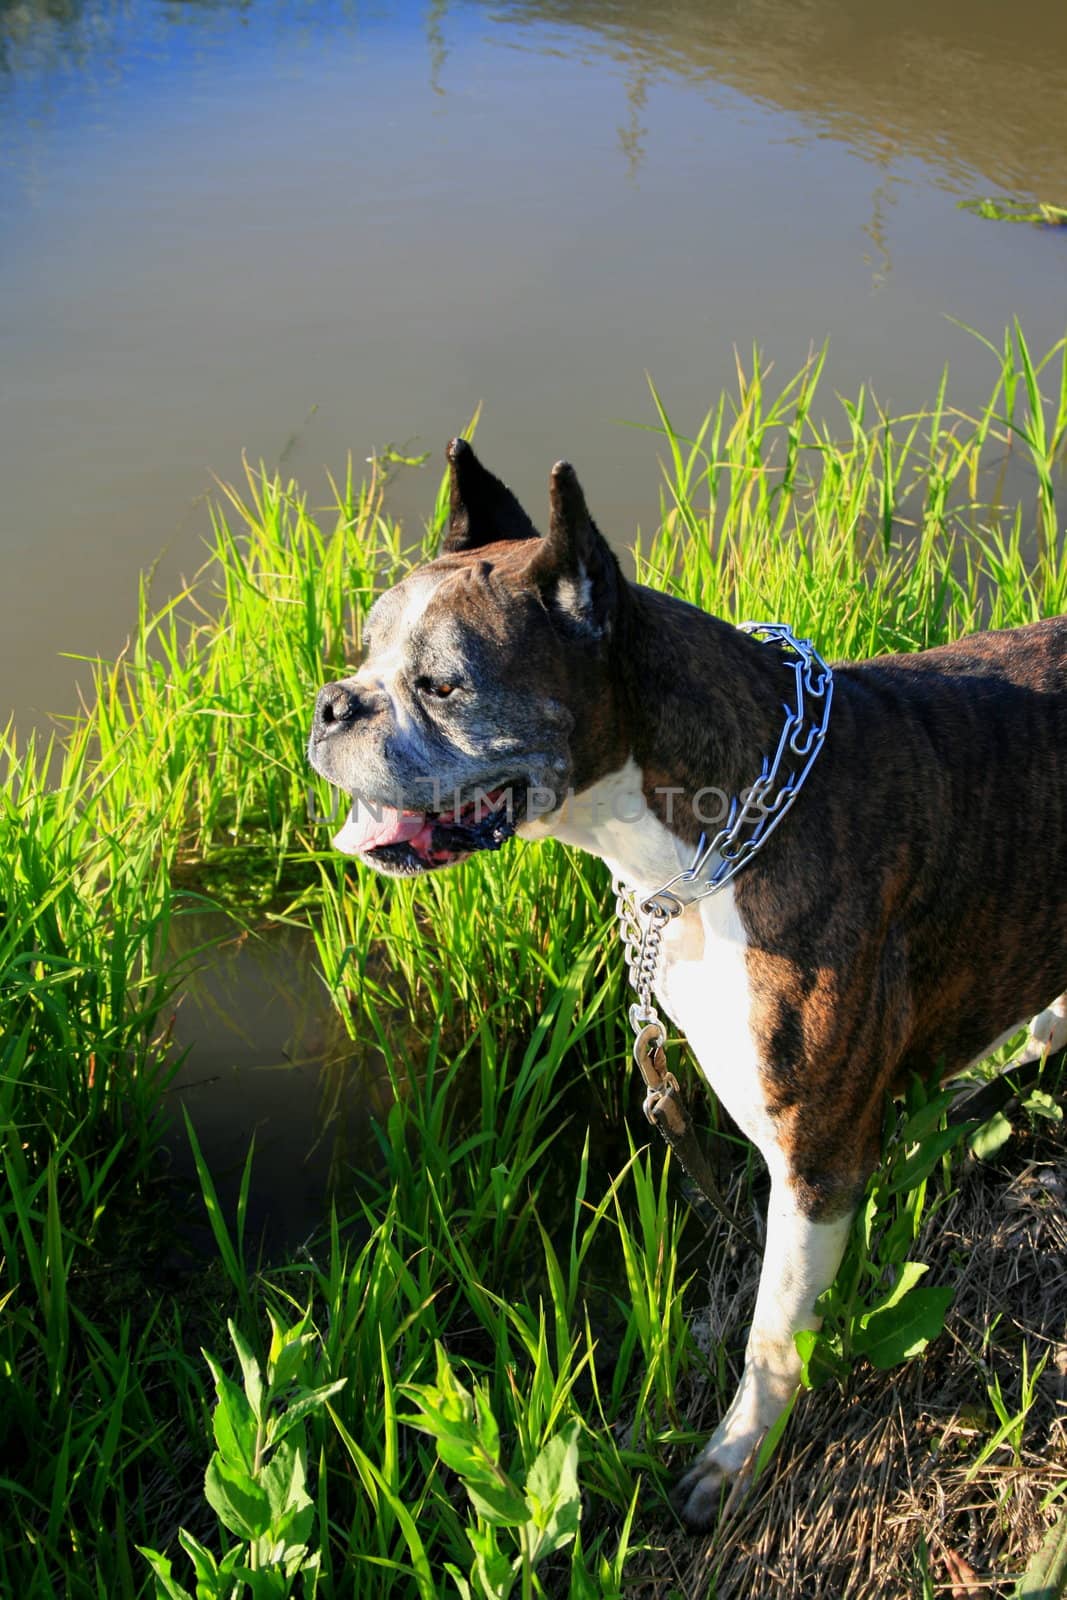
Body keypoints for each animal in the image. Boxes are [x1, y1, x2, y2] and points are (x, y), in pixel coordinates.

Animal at [307, 435, 1067, 1523]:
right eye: (363, 656)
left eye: (442, 687)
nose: (332, 704)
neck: (712, 830)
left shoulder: (816, 1163)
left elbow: (775, 1335)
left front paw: (737, 1456)